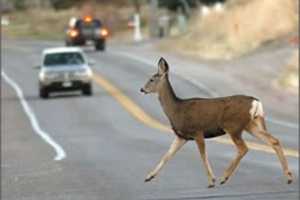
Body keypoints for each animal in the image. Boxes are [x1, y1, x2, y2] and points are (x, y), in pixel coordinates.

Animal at [141, 57, 292, 188]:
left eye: (151, 79)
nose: (142, 89)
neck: (176, 109)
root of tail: (256, 102)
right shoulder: (182, 136)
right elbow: (167, 155)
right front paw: (149, 176)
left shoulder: (197, 131)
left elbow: (203, 155)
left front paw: (211, 181)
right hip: (252, 124)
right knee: (274, 141)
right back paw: (289, 177)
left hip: (233, 126)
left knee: (243, 148)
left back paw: (224, 177)